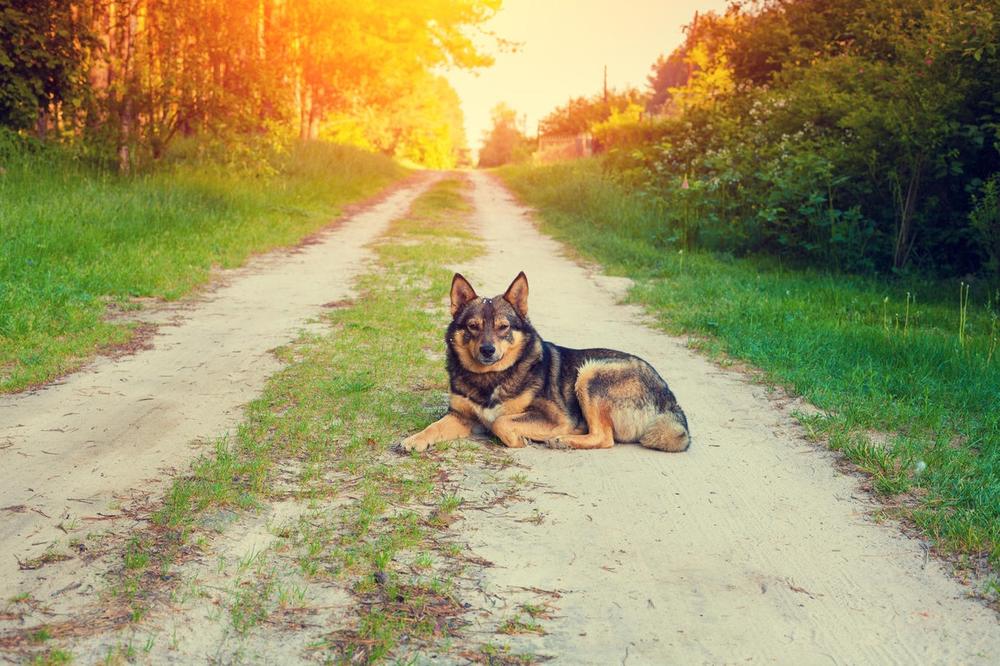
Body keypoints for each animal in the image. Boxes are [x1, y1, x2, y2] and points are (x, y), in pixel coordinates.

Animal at [396, 272, 688, 452]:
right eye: (473, 326)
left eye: (503, 327)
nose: (487, 350)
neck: (490, 377)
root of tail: (670, 399)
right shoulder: (459, 416)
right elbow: (432, 427)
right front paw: (413, 440)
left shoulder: (553, 416)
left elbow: (501, 422)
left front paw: (517, 439)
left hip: (590, 373)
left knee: (604, 438)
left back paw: (562, 440)